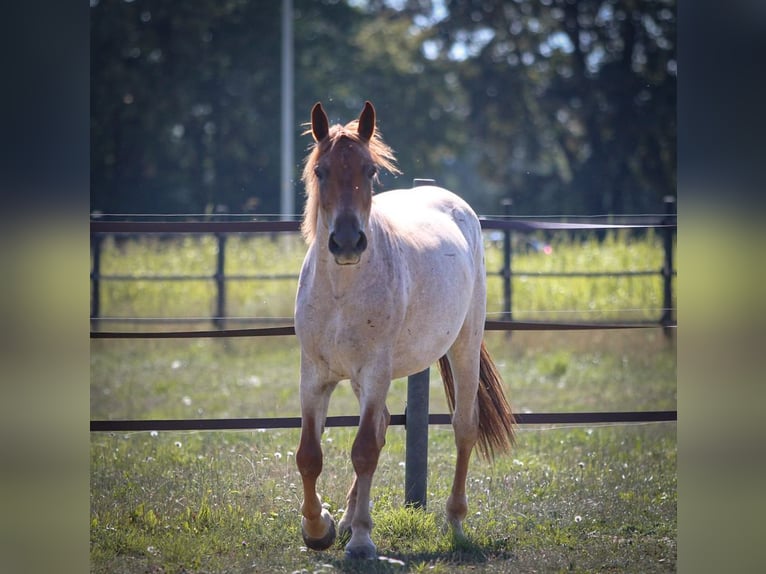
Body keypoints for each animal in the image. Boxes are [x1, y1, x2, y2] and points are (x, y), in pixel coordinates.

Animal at [293, 101, 515, 559]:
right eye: (321, 170)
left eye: (370, 171)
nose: (346, 242)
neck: (341, 291)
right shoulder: (315, 375)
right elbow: (310, 454)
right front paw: (319, 527)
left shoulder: (376, 371)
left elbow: (363, 451)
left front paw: (361, 540)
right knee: (380, 426)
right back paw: (347, 518)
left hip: (464, 346)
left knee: (463, 426)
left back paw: (455, 521)